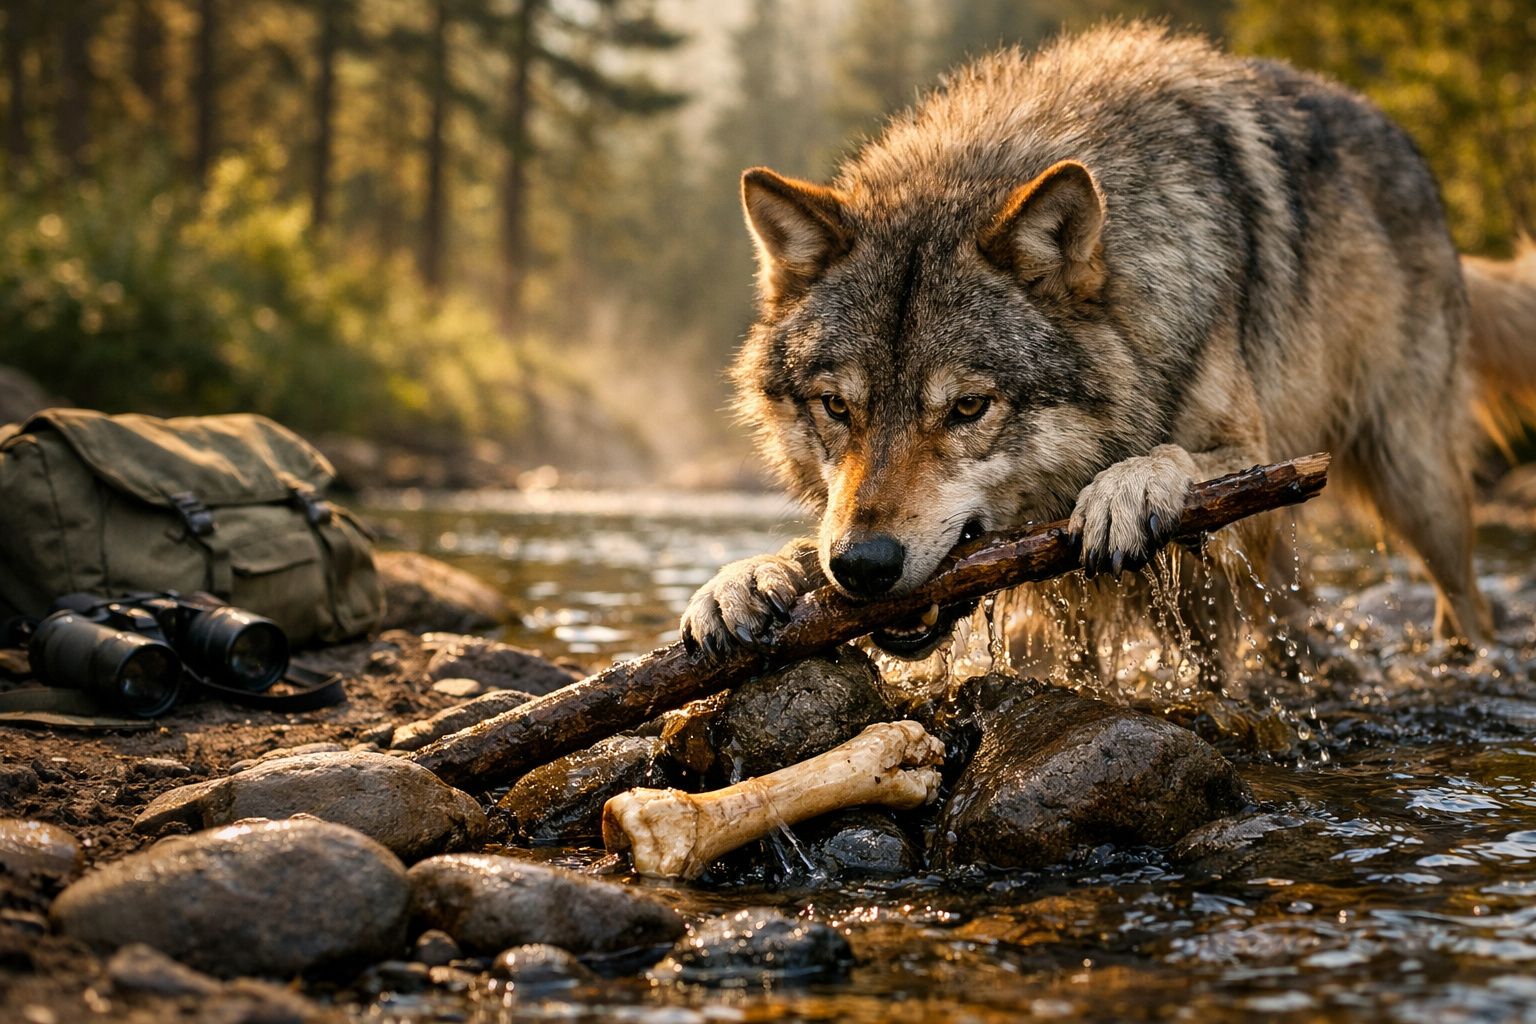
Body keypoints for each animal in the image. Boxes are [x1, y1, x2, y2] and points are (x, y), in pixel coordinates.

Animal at [681, 23, 1536, 664]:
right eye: (836, 407)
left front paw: (1130, 485)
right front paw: (747, 575)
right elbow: (804, 542)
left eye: (968, 408)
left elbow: (1178, 456)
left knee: (1464, 600)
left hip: (1414, 483)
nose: (863, 565)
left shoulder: (1260, 452)